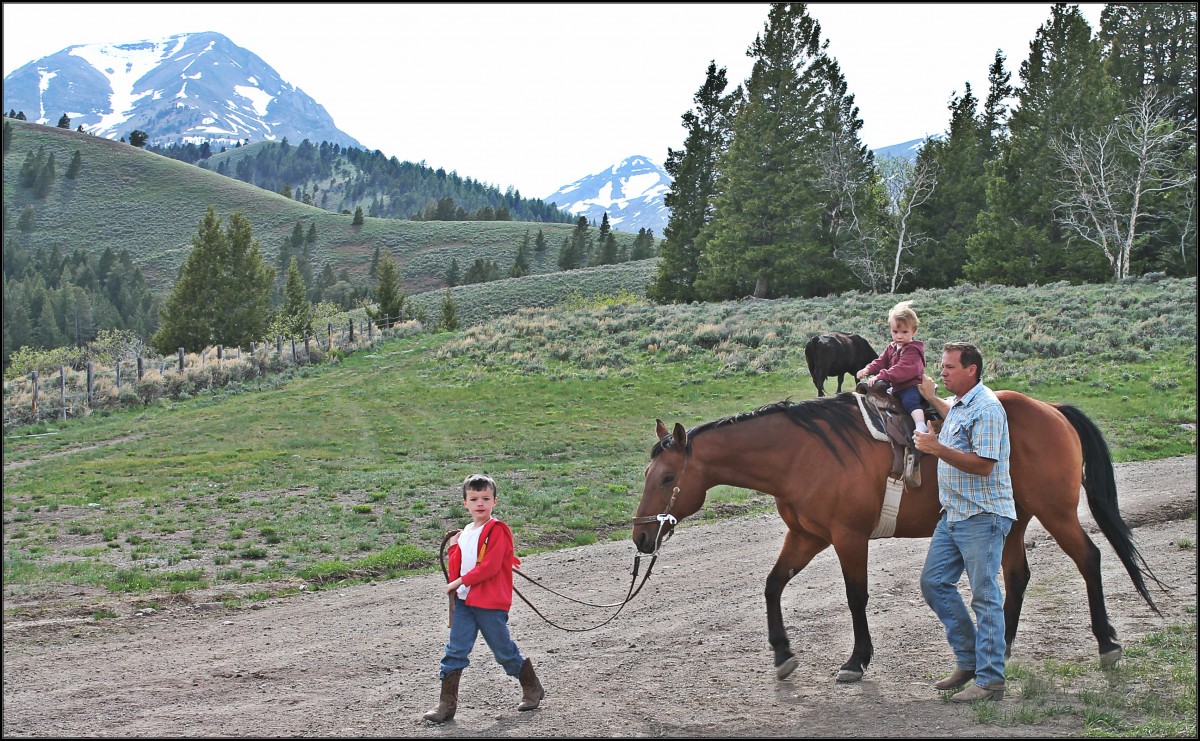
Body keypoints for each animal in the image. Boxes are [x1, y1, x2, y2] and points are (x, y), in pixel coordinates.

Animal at [628, 393, 1161, 681]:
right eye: (648, 475)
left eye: (668, 478)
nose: (640, 537)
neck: (800, 454)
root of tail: (1052, 409)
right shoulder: (805, 535)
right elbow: (772, 585)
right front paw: (782, 654)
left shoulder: (848, 537)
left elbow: (856, 597)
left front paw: (856, 660)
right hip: (1014, 519)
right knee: (1016, 576)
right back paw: (1001, 648)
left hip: (1055, 512)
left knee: (1089, 558)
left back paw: (1106, 642)